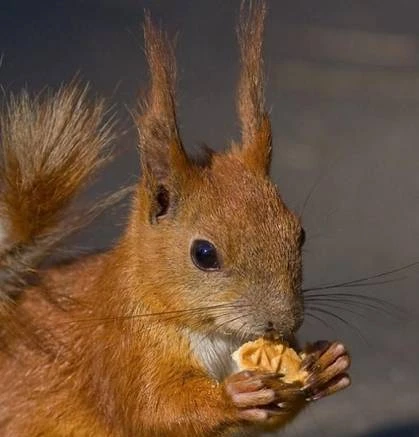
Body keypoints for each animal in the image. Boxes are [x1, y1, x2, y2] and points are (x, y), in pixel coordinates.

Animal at [0, 1, 350, 434]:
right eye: (204, 254)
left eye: (299, 234)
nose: (283, 323)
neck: (214, 335)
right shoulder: (122, 347)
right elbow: (154, 408)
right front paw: (232, 395)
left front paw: (327, 363)